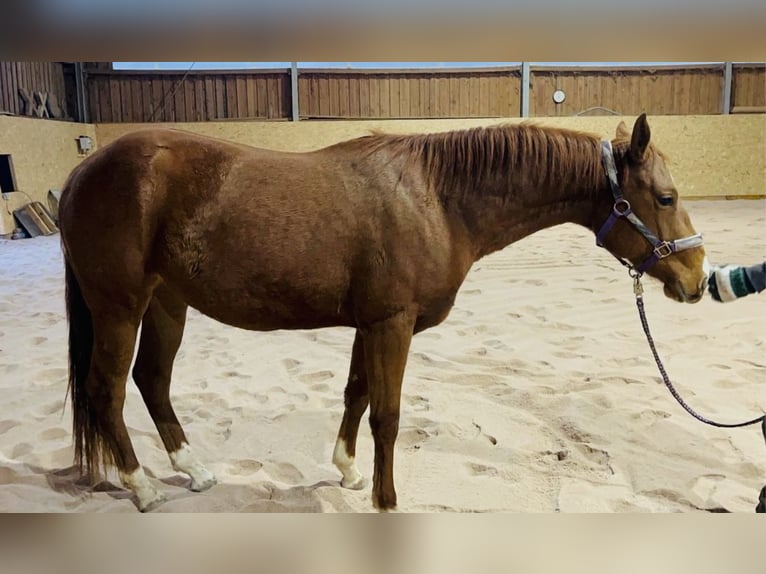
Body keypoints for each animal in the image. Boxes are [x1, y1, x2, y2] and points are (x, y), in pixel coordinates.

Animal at [58, 114, 708, 512]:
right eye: (666, 197)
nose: (698, 279)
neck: (438, 199)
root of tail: (85, 170)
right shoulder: (391, 324)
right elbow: (388, 417)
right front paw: (386, 499)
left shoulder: (370, 325)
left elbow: (356, 394)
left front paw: (347, 472)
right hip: (119, 306)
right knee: (106, 389)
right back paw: (142, 488)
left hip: (167, 304)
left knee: (152, 381)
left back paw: (194, 471)